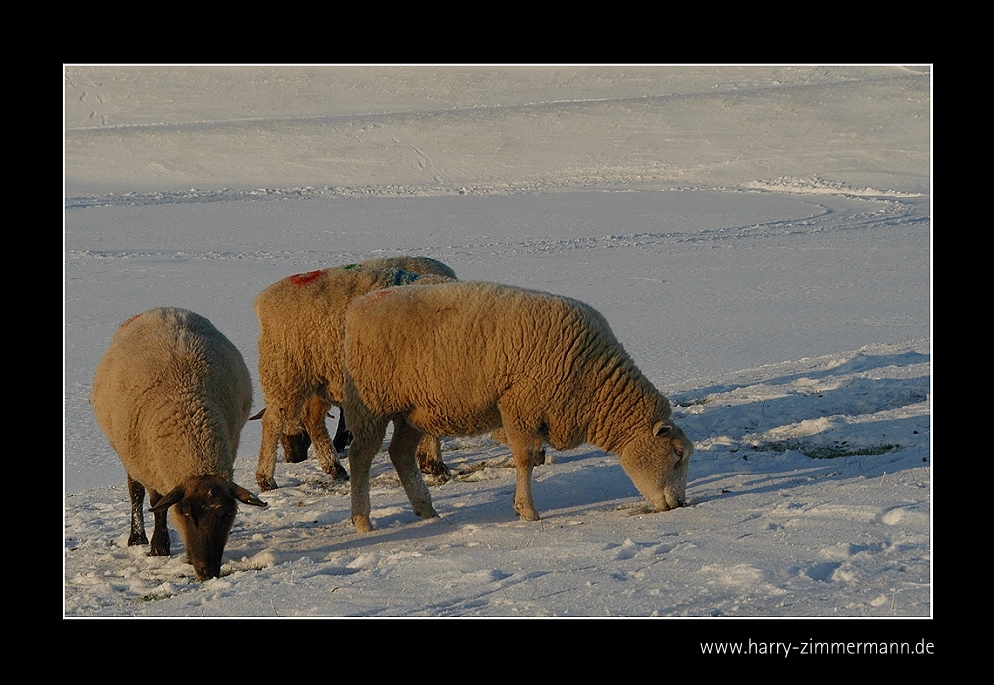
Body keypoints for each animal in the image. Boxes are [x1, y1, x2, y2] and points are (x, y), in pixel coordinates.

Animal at [89, 308, 266, 580]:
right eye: (186, 513)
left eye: (228, 514)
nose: (208, 572)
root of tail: (162, 309)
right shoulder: (151, 464)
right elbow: (157, 505)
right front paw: (159, 547)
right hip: (130, 453)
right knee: (135, 491)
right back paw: (137, 537)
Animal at [256, 258, 458, 492]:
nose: (293, 458)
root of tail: (263, 299)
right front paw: (436, 465)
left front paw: (429, 462)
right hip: (287, 371)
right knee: (272, 422)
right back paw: (266, 479)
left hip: (321, 374)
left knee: (312, 418)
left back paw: (334, 467)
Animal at [340, 280, 688, 532]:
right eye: (677, 454)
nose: (680, 505)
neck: (592, 379)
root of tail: (358, 306)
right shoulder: (519, 406)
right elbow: (525, 459)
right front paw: (528, 511)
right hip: (371, 404)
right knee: (361, 457)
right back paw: (363, 521)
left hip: (413, 410)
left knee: (400, 453)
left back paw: (426, 510)